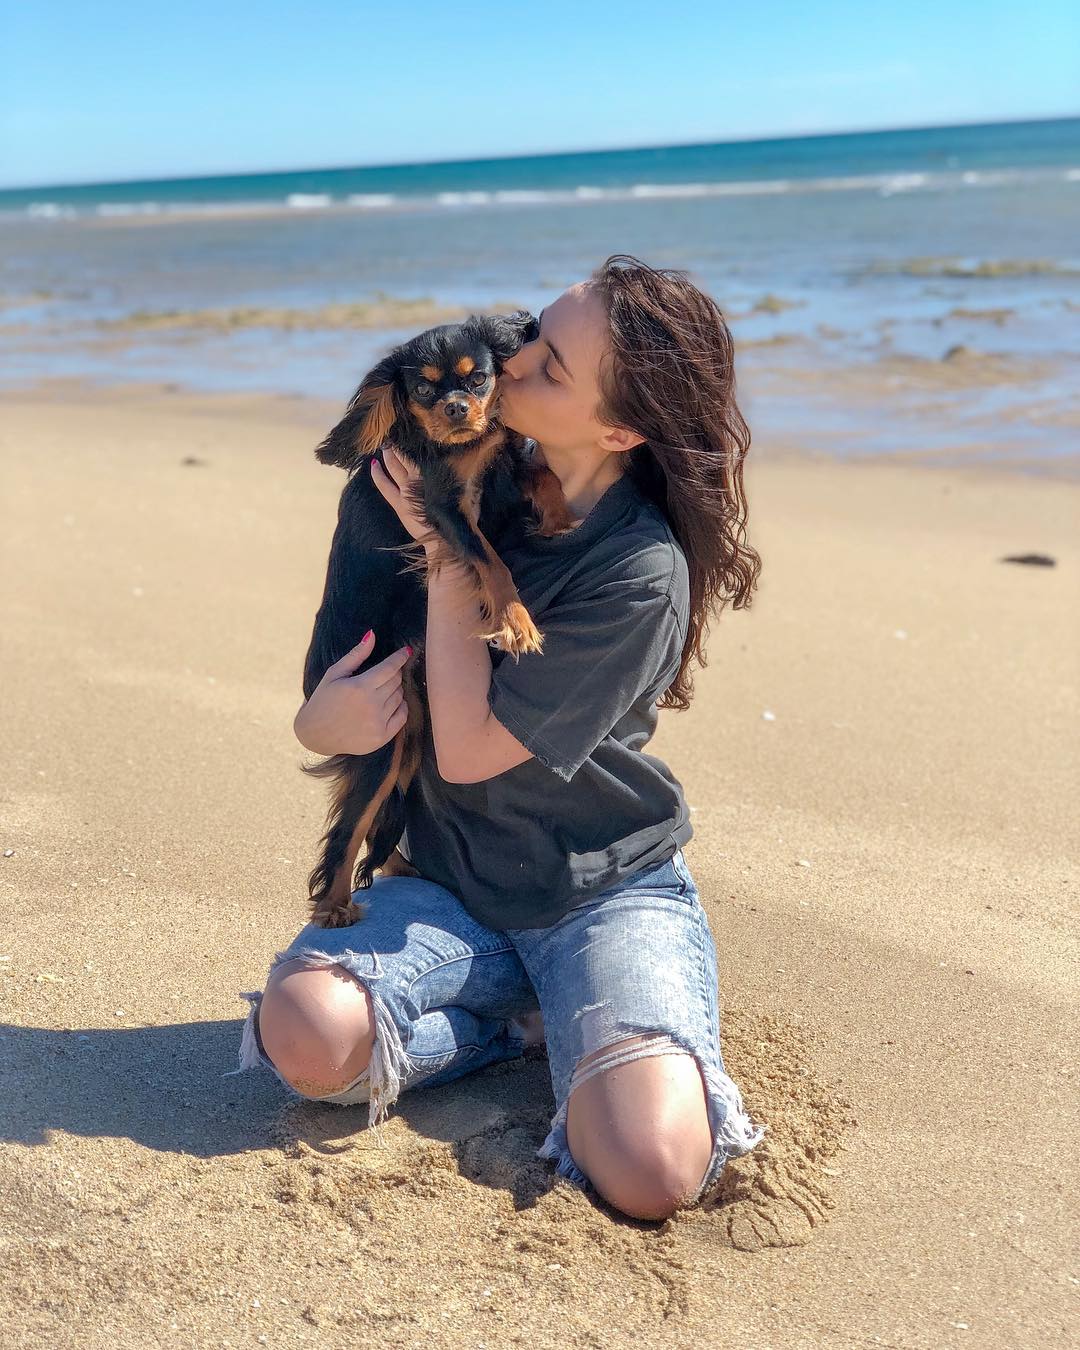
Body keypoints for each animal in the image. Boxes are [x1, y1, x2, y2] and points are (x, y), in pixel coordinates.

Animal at [299, 310, 577, 934]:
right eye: (424, 391)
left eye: (478, 380)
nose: (456, 408)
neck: (461, 447)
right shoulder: (442, 504)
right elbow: (490, 560)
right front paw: (515, 620)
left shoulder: (499, 462)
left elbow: (539, 471)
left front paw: (558, 515)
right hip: (382, 741)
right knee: (349, 829)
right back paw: (334, 906)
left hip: (412, 730)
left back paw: (402, 871)